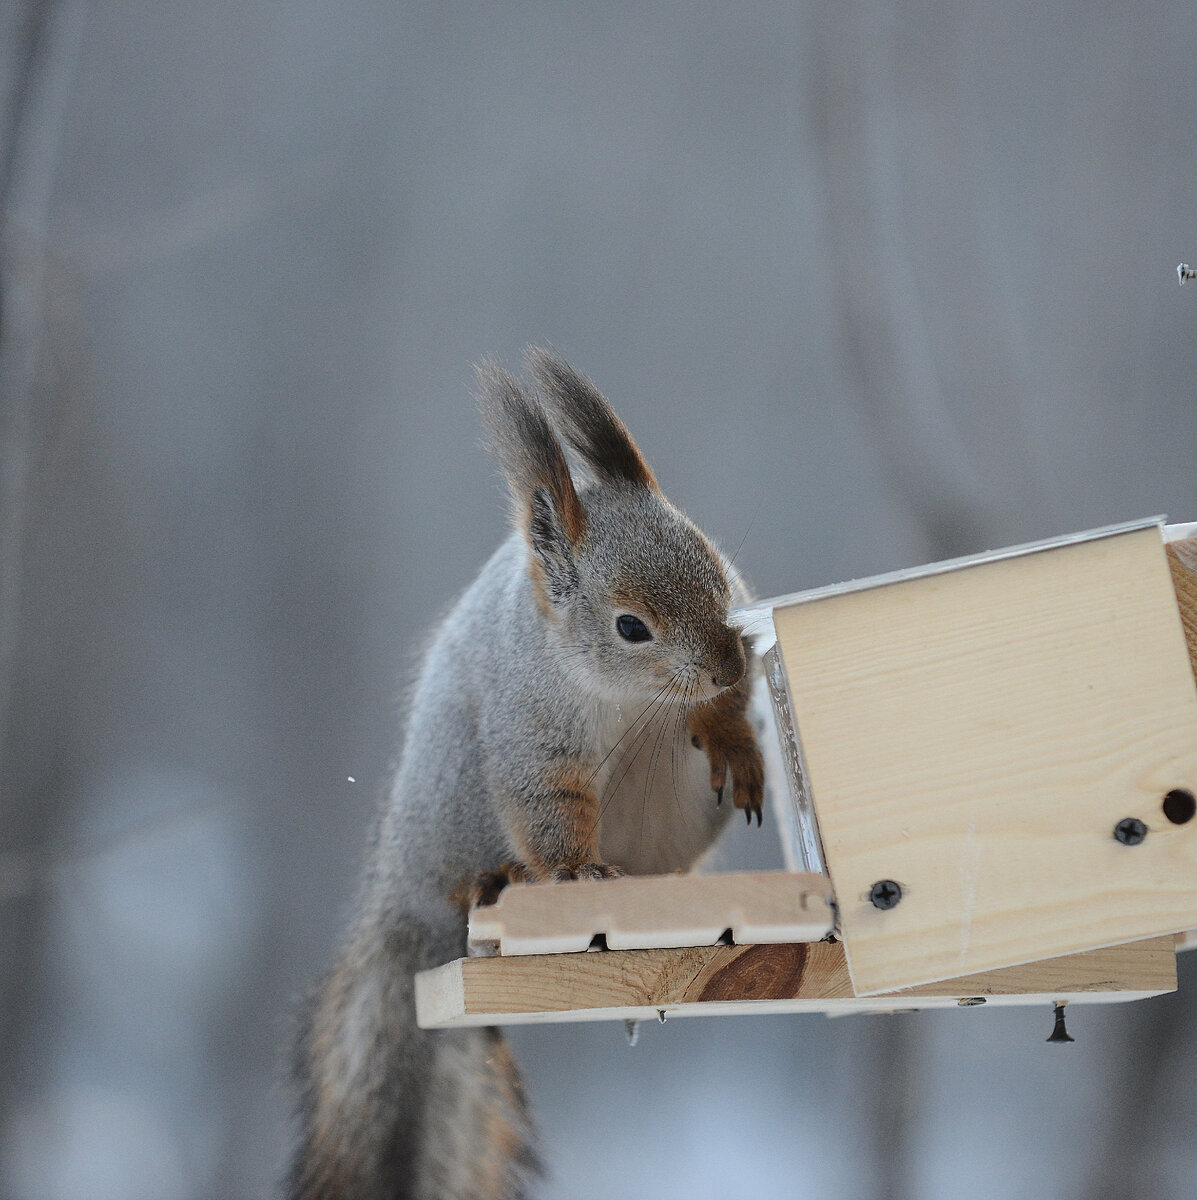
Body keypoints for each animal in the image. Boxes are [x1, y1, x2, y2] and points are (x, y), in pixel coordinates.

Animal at [285, 350, 762, 1200]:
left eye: (712, 564)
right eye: (629, 627)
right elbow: (547, 799)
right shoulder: (529, 725)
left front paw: (734, 740)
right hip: (449, 825)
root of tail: (398, 900)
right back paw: (499, 880)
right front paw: (574, 870)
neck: (632, 701)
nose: (727, 662)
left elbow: (728, 715)